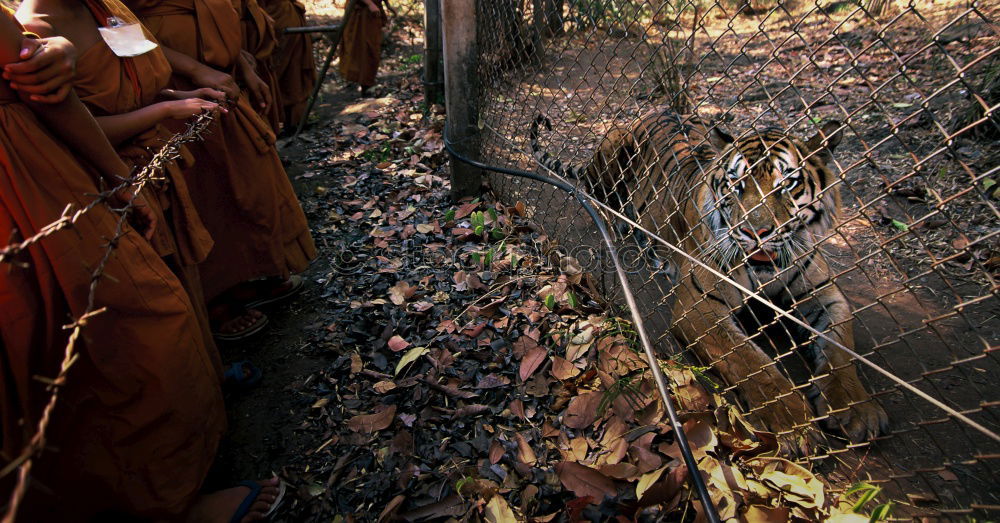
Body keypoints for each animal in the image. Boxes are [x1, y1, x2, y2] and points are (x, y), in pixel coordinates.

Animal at [532, 110, 892, 458]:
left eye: (787, 185)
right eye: (736, 185)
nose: (755, 232)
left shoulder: (823, 293)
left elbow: (839, 345)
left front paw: (855, 407)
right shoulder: (700, 305)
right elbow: (750, 360)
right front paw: (793, 422)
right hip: (613, 148)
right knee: (595, 191)